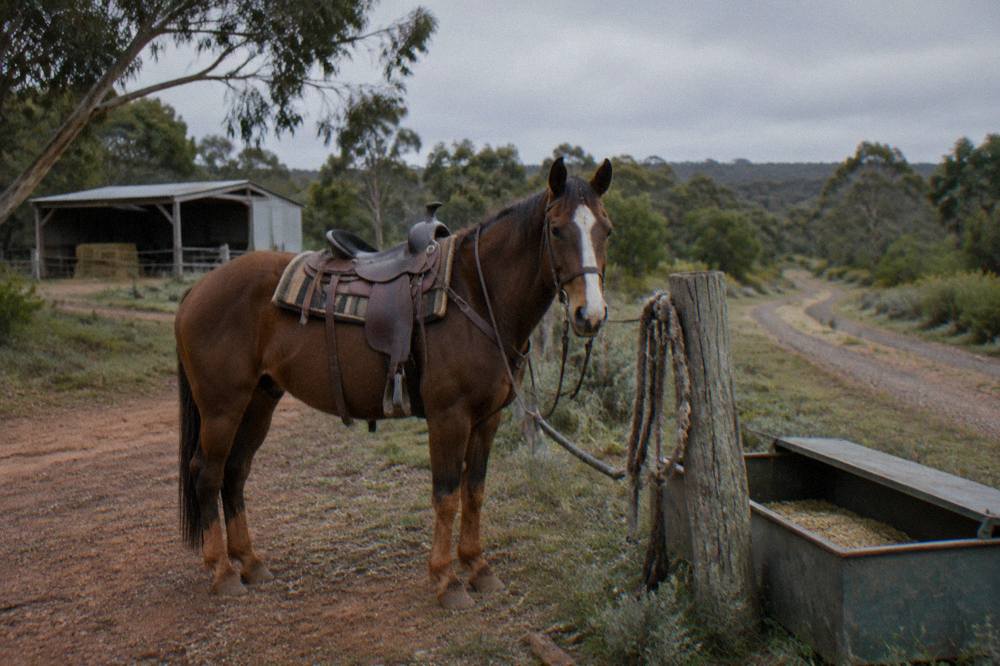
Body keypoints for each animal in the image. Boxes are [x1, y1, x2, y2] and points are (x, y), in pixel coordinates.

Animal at [175, 156, 614, 608]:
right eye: (557, 228)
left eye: (606, 229)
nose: (590, 315)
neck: (476, 294)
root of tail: (197, 289)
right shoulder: (449, 417)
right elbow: (446, 496)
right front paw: (447, 580)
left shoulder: (486, 419)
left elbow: (474, 491)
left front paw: (477, 567)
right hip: (222, 407)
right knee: (207, 473)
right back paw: (223, 571)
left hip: (259, 401)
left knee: (235, 472)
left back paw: (249, 562)